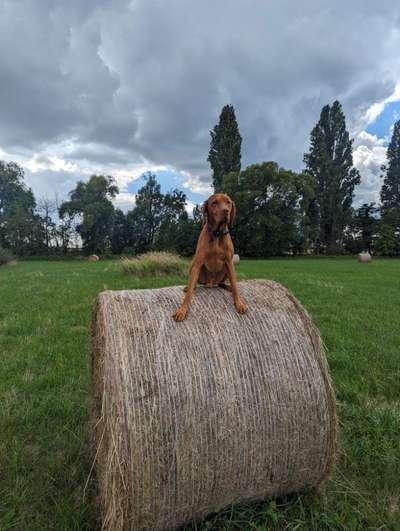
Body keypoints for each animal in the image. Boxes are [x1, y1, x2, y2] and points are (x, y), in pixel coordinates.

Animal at [173, 193, 247, 322]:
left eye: (228, 202)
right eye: (214, 203)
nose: (226, 211)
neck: (217, 234)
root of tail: (211, 283)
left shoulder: (229, 262)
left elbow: (235, 285)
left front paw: (239, 303)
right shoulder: (198, 263)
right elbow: (189, 293)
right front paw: (182, 310)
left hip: (226, 270)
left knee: (223, 284)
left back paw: (228, 287)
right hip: (194, 267)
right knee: (194, 284)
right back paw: (190, 287)